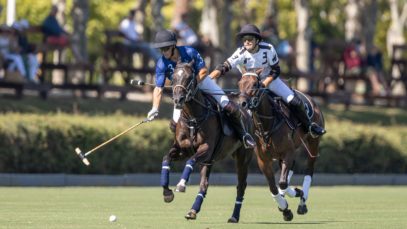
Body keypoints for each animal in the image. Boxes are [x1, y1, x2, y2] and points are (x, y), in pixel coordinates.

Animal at [161, 60, 253, 222]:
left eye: (189, 77)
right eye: (173, 77)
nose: (178, 100)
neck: (193, 118)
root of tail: (246, 112)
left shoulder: (206, 148)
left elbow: (191, 160)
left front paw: (181, 184)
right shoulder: (182, 149)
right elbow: (166, 158)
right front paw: (167, 193)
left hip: (242, 157)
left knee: (241, 186)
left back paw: (234, 217)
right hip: (209, 161)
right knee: (204, 184)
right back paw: (192, 211)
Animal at [237, 69, 326, 221]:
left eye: (255, 84)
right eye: (239, 84)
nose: (242, 103)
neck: (266, 125)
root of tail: (311, 98)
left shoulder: (287, 152)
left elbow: (283, 183)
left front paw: (296, 194)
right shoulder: (263, 160)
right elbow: (274, 187)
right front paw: (285, 208)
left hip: (313, 142)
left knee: (309, 168)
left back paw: (302, 202)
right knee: (291, 168)